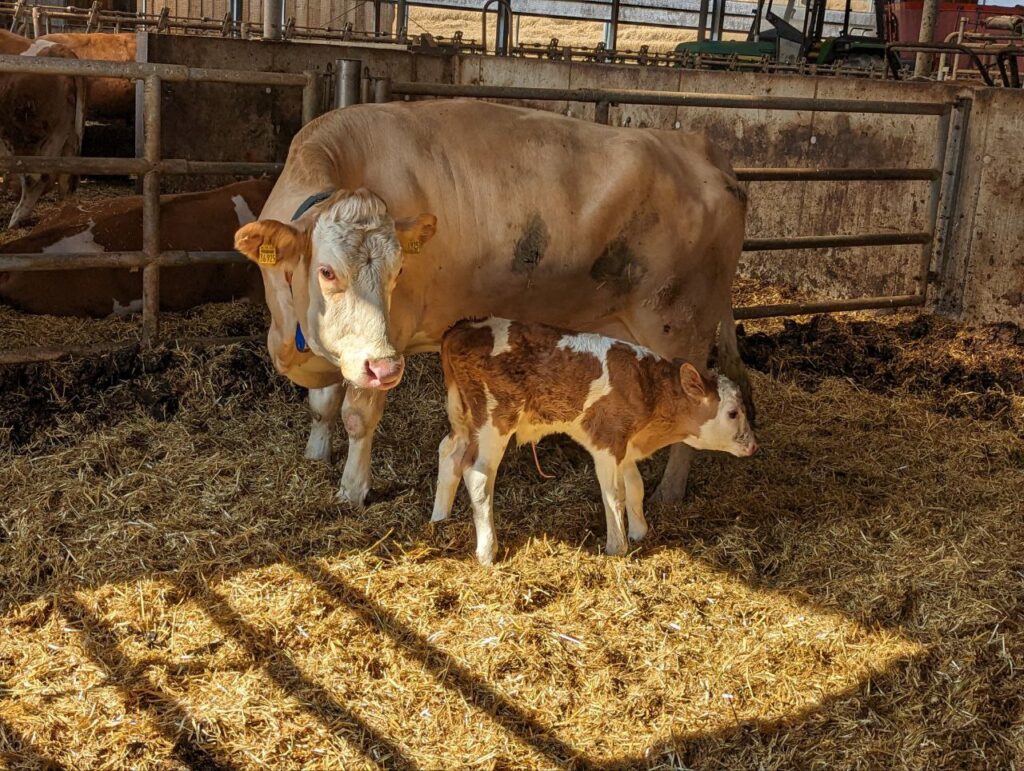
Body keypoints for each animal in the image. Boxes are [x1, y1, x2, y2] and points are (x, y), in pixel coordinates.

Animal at [0, 37, 85, 228]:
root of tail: (59, 50)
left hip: (27, 137)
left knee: (36, 178)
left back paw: (15, 219)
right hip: (67, 137)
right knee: (65, 180)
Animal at [233, 99, 753, 507]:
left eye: (399, 272)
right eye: (327, 271)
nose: (386, 368)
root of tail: (698, 146)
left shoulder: (388, 339)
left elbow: (358, 417)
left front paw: (352, 489)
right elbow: (322, 406)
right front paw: (316, 453)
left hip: (680, 325)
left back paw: (670, 491)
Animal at [433, 318, 758, 564]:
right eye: (733, 413)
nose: (753, 445)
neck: (648, 388)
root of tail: (462, 327)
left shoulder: (625, 444)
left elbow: (635, 487)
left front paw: (639, 531)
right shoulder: (606, 441)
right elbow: (614, 495)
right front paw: (618, 548)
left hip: (463, 416)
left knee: (449, 452)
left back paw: (438, 520)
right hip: (494, 419)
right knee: (477, 474)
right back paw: (487, 552)